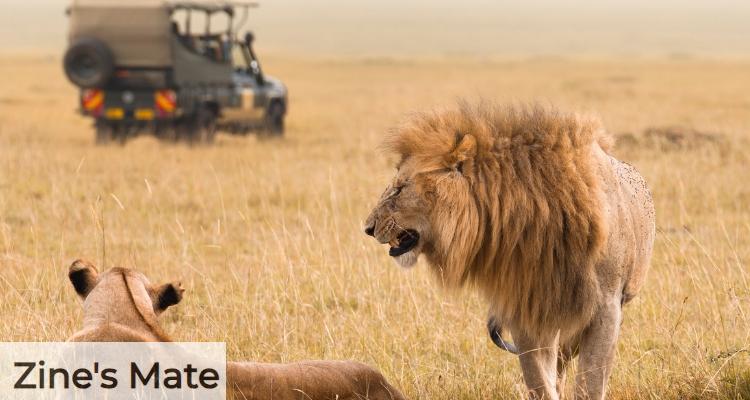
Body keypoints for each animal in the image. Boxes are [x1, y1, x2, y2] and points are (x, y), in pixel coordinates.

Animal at [363, 103, 655, 400]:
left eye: (400, 189)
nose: (368, 228)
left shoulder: (606, 307)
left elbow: (591, 381)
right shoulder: (525, 306)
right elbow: (538, 378)